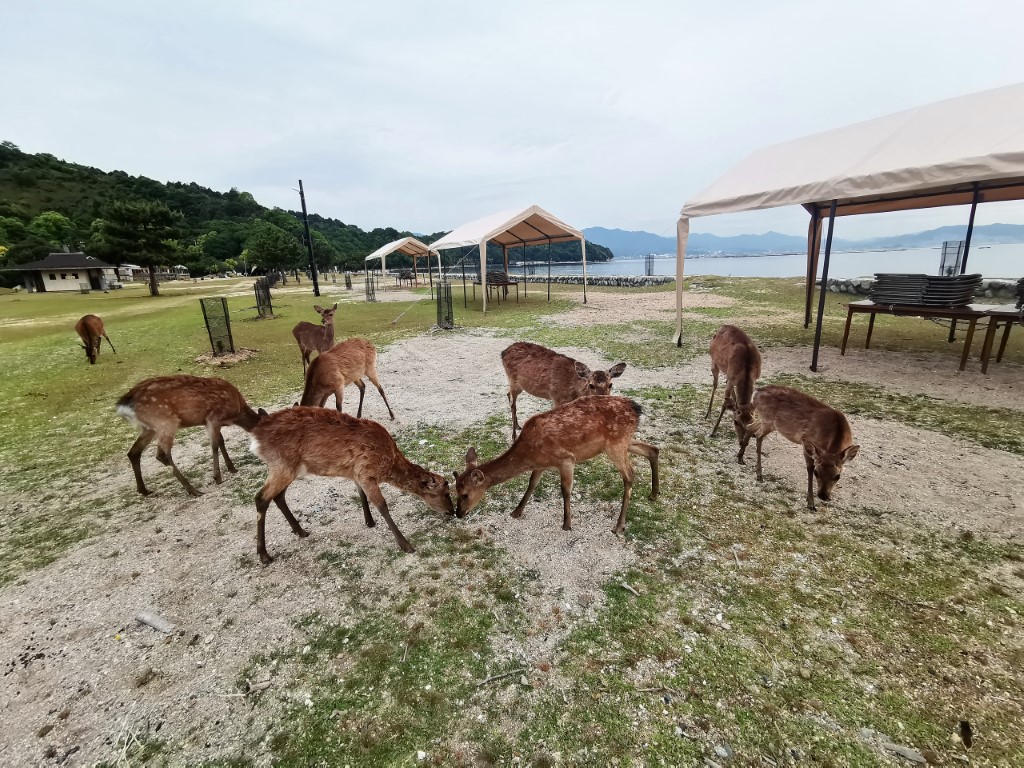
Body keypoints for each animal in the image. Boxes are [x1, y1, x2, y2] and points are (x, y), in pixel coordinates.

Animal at [115, 374, 264, 499]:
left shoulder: (209, 422)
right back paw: (193, 490)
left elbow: (221, 441)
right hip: (166, 421)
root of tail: (123, 405)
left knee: (133, 452)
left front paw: (232, 468)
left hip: (149, 428)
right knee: (162, 454)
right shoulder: (213, 417)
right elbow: (215, 444)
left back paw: (144, 490)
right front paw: (217, 477)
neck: (236, 414)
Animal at [247, 409, 452, 565]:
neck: (389, 462)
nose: (452, 511)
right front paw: (407, 545)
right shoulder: (366, 471)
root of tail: (257, 435)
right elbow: (382, 505)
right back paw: (264, 555)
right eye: (446, 493)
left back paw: (301, 531)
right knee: (261, 497)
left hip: (289, 469)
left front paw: (369, 522)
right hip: (282, 465)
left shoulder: (356, 473)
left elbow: (361, 495)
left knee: (278, 496)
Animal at [454, 397, 659, 536]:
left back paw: (619, 526)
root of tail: (636, 408)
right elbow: (531, 484)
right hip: (623, 441)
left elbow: (565, 490)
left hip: (615, 444)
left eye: (465, 494)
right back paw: (654, 494)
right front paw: (516, 512)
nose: (458, 513)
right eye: (455, 490)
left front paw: (567, 524)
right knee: (653, 449)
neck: (528, 453)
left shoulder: (567, 458)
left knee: (630, 475)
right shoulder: (540, 465)